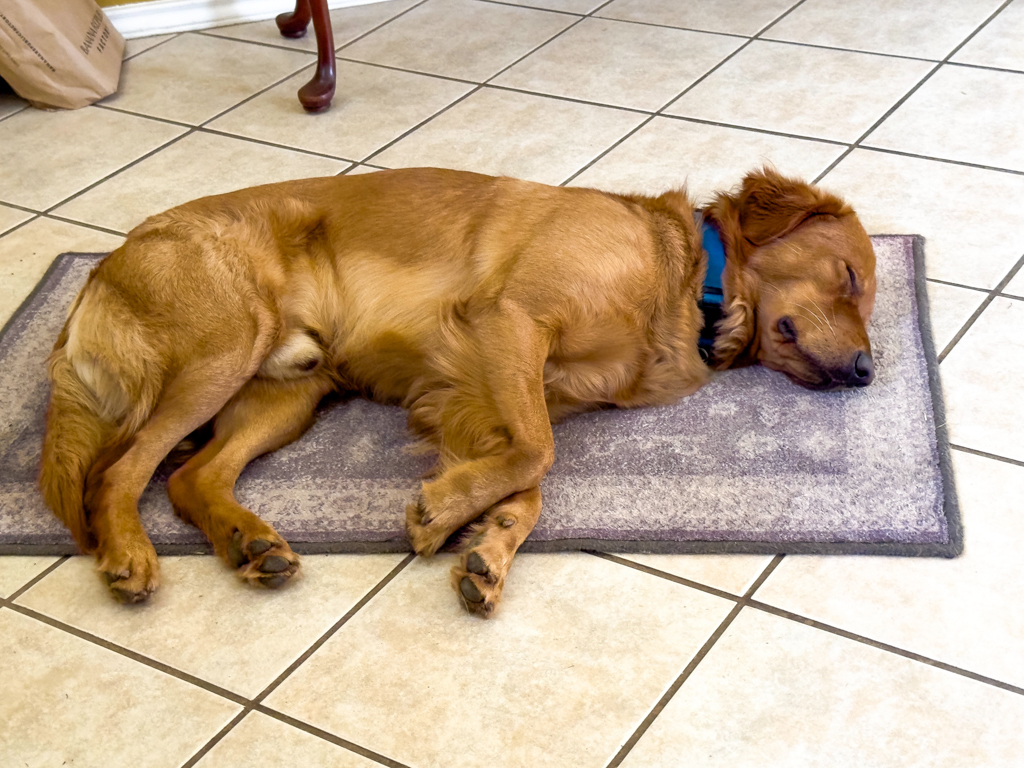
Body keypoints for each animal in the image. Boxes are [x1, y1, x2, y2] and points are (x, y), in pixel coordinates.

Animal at [36, 167, 876, 618]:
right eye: (850, 278)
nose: (870, 371)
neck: (684, 286)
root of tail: (102, 268)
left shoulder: (478, 393)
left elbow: (529, 480)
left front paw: (490, 547)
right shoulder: (509, 322)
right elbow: (538, 454)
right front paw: (446, 512)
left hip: (286, 393)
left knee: (189, 475)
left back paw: (251, 543)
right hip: (224, 348)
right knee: (122, 469)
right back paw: (129, 554)